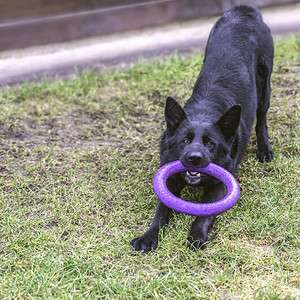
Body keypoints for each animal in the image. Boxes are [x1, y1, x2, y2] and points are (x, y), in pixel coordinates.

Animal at [130, 5, 274, 252]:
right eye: (185, 141)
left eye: (209, 143)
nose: (194, 158)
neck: (204, 111)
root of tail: (244, 11)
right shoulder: (168, 181)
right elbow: (160, 212)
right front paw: (148, 237)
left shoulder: (220, 187)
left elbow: (203, 215)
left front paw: (196, 237)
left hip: (265, 85)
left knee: (262, 118)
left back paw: (264, 149)